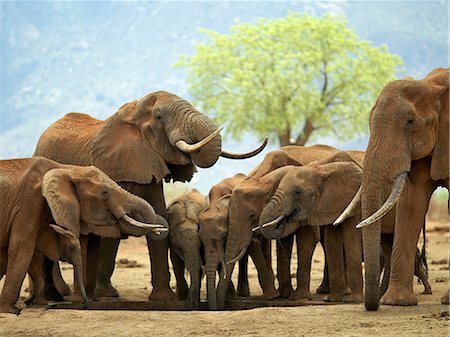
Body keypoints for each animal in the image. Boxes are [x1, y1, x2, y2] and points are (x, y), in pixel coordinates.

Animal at [36, 89, 268, 300]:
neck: (132, 112)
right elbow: (114, 229)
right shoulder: (115, 167)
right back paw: (62, 294)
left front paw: (164, 299)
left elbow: (159, 213)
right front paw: (109, 296)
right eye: (159, 117)